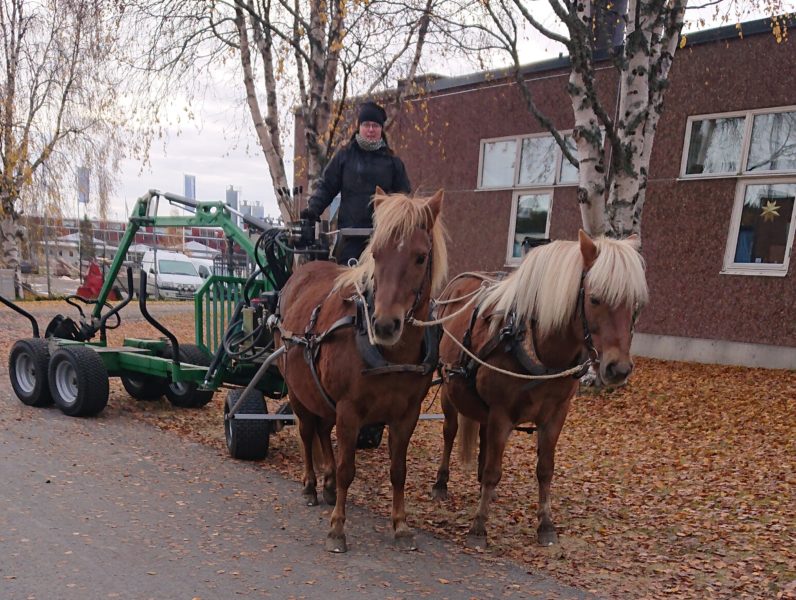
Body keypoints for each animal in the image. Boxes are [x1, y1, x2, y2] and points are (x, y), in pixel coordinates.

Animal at [276, 190, 448, 552]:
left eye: (421, 257)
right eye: (377, 254)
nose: (384, 324)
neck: (390, 354)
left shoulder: (406, 415)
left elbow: (398, 470)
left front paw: (400, 524)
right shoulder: (349, 409)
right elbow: (347, 469)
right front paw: (337, 528)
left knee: (322, 430)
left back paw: (326, 485)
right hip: (298, 391)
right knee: (307, 433)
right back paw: (311, 485)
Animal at [432, 231, 648, 548]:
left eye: (636, 304)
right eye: (594, 299)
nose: (618, 368)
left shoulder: (556, 415)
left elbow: (545, 469)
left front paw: (545, 525)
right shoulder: (501, 414)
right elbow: (494, 470)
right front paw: (479, 527)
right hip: (449, 388)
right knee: (450, 432)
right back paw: (441, 482)